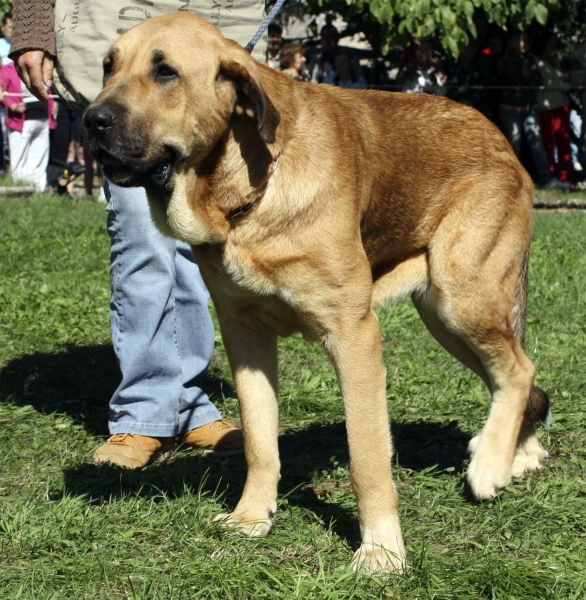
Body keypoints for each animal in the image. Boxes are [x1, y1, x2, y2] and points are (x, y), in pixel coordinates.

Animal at [82, 11, 548, 568]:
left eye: (165, 71)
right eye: (108, 66)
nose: (91, 120)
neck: (249, 191)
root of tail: (501, 139)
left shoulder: (354, 335)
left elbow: (367, 458)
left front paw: (381, 552)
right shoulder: (245, 337)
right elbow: (260, 442)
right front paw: (251, 517)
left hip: (464, 297)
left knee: (519, 368)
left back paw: (491, 466)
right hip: (446, 316)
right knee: (511, 374)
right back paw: (515, 455)